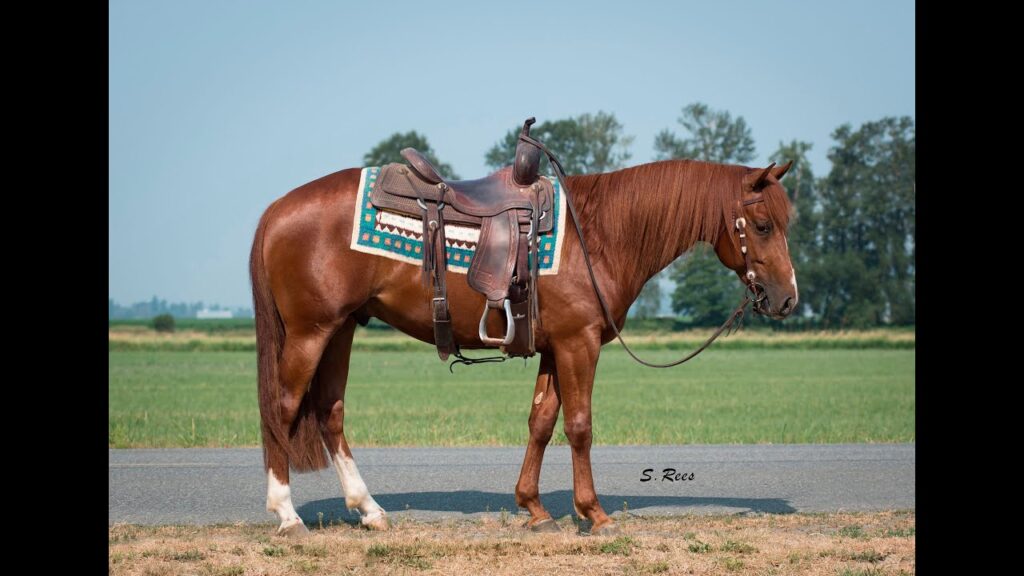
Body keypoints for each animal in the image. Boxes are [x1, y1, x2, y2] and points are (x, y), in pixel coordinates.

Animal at [250, 154, 798, 535]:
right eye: (763, 225)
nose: (788, 298)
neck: (599, 233)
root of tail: (276, 209)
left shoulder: (556, 347)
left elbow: (541, 422)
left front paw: (534, 509)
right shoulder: (580, 344)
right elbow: (579, 426)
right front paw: (594, 514)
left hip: (340, 329)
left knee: (330, 413)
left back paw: (370, 510)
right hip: (311, 332)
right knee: (282, 408)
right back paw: (287, 516)